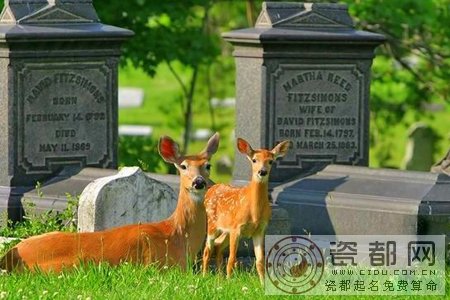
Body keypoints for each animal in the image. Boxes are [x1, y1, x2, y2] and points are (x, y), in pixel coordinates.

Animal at [1, 132, 220, 274]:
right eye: (183, 166)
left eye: (208, 165)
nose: (199, 182)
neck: (176, 235)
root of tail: (9, 258)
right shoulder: (159, 266)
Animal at [202, 138, 290, 284]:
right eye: (254, 160)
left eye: (271, 161)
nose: (262, 171)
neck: (254, 212)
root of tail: (211, 189)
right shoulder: (237, 228)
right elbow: (232, 259)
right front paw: (230, 282)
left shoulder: (259, 230)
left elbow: (260, 261)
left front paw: (262, 284)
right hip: (212, 225)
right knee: (207, 250)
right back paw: (205, 276)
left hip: (226, 230)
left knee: (218, 245)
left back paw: (220, 278)